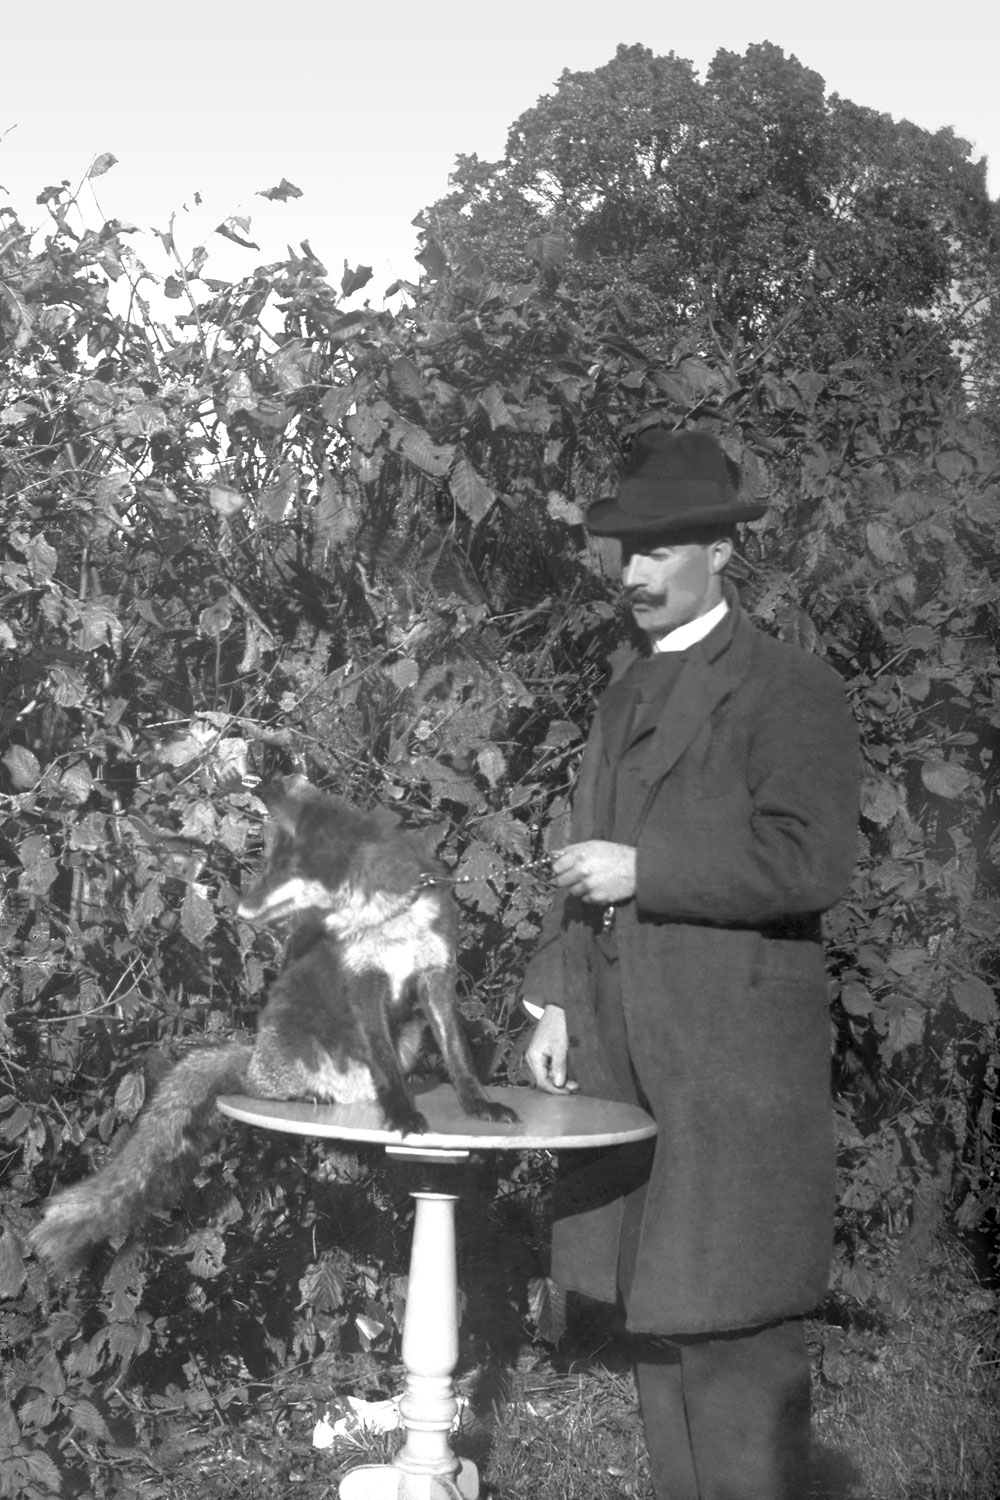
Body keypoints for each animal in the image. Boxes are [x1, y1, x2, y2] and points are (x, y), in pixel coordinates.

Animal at [31, 780, 515, 1284]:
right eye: (266, 865)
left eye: (282, 869)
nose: (237, 907)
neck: (390, 921)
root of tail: (253, 1057)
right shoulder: (365, 983)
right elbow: (384, 1064)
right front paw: (402, 1114)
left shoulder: (436, 977)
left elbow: (458, 1057)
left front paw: (478, 1105)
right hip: (292, 1044)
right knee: (258, 1088)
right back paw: (309, 1094)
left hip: (411, 1037)